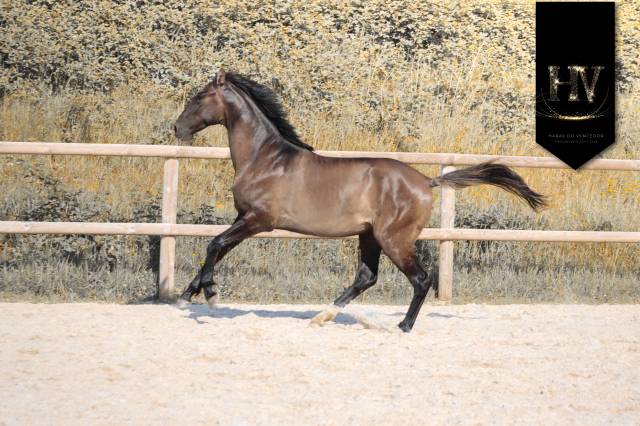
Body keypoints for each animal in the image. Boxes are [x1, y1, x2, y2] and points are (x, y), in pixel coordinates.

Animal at [174, 69, 546, 332]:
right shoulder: (244, 217)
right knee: (366, 277)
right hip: (369, 236)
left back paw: (402, 326)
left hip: (393, 239)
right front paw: (188, 294)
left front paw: (210, 295)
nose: (177, 128)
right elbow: (215, 247)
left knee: (421, 279)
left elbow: (215, 244)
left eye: (199, 97)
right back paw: (323, 316)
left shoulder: (259, 220)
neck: (265, 158)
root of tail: (426, 181)